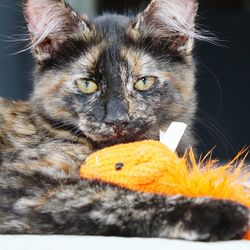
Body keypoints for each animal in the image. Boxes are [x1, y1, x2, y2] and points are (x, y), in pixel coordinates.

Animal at [0, 0, 248, 242]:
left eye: (144, 82)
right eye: (87, 84)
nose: (117, 119)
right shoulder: (24, 184)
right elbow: (124, 198)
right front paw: (217, 209)